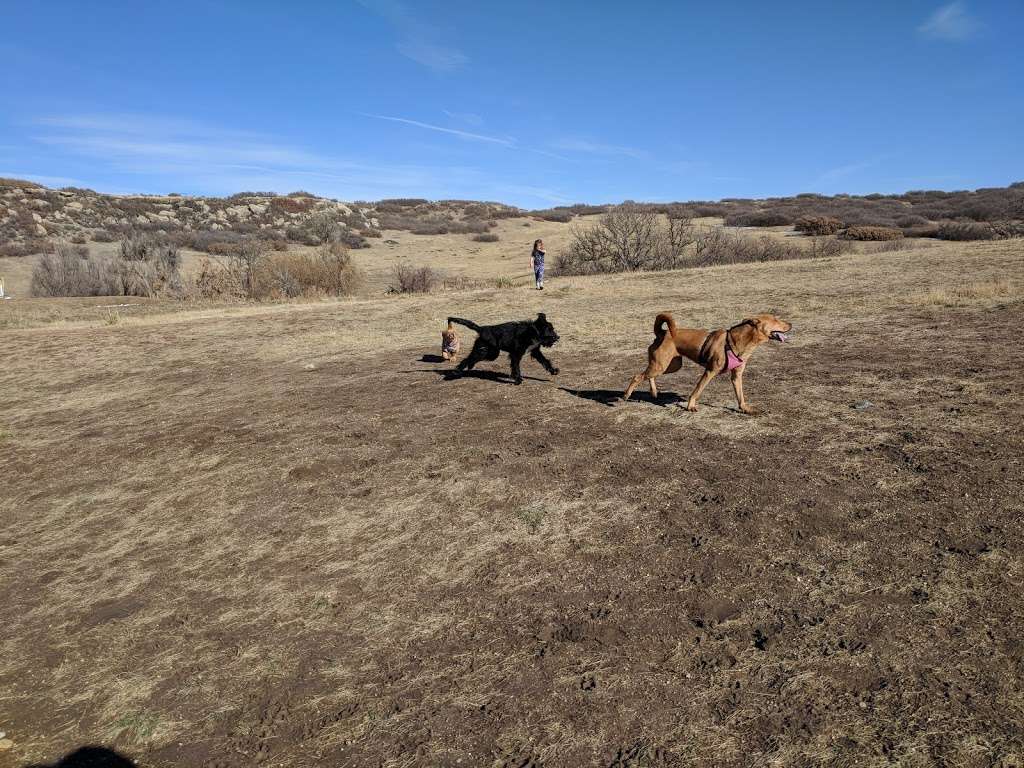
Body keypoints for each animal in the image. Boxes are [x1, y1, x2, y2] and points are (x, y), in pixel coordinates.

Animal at [618, 313, 794, 415]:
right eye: (776, 319)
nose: (791, 324)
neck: (740, 342)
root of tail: (662, 333)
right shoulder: (710, 371)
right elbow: (697, 390)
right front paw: (690, 406)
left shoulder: (737, 376)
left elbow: (740, 395)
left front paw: (744, 408)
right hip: (661, 365)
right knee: (637, 376)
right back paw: (626, 395)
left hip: (670, 366)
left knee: (648, 375)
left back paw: (653, 392)